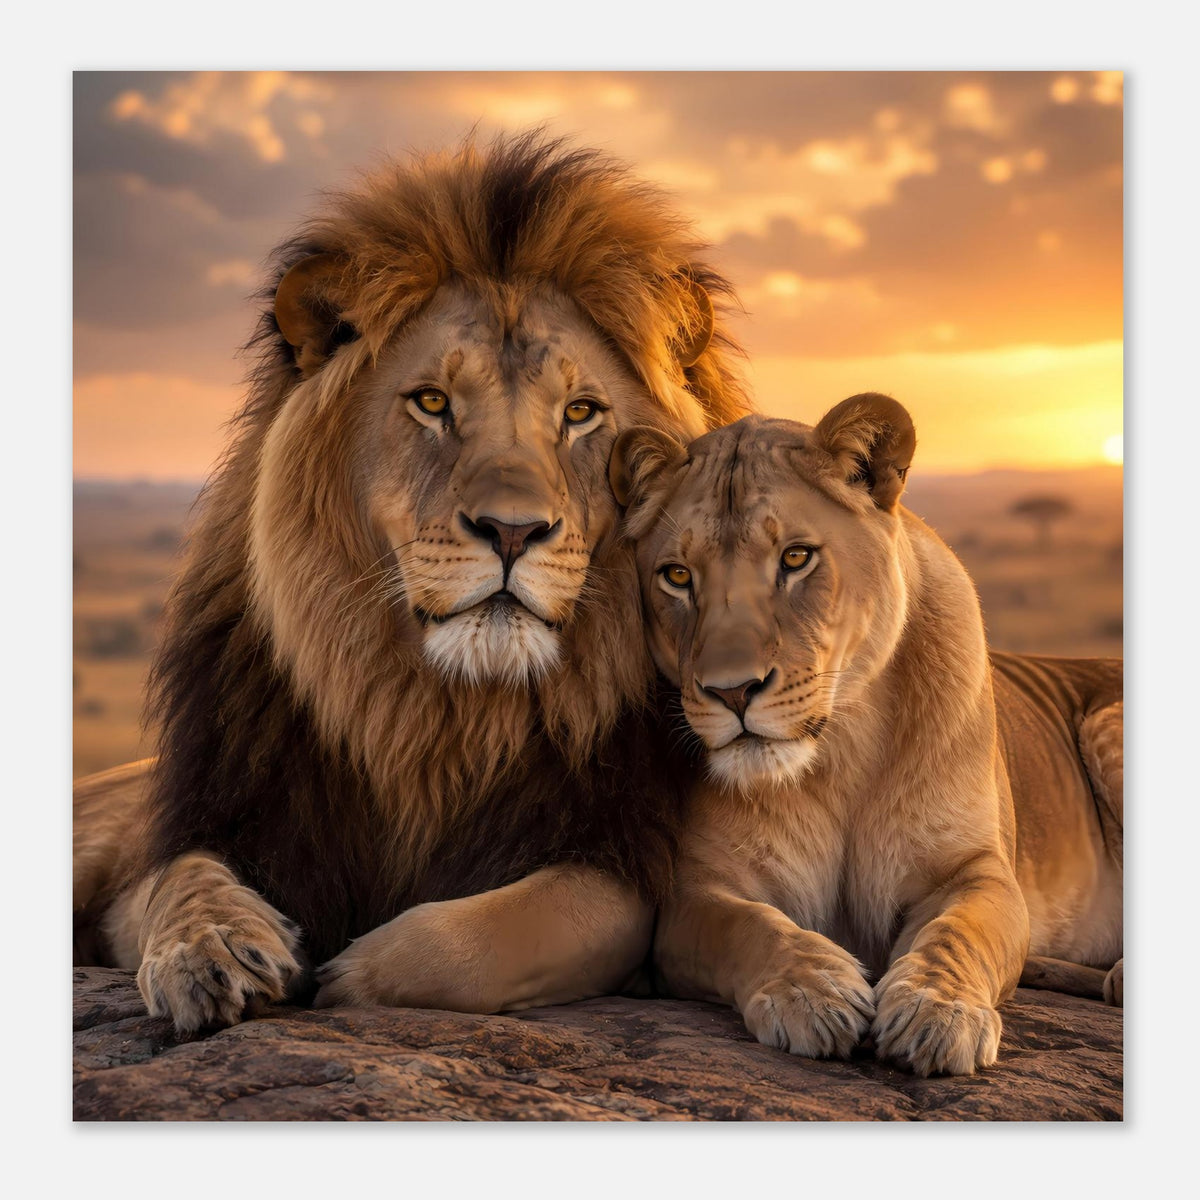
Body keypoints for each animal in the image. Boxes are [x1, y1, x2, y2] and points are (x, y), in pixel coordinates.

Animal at [71, 131, 751, 1034]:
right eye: (432, 403)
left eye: (580, 413)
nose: (512, 531)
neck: (435, 719)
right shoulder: (209, 822)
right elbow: (176, 881)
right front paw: (211, 952)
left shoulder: (620, 862)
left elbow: (492, 934)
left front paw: (347, 975)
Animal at [609, 396, 1122, 1075]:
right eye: (676, 576)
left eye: (796, 558)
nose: (732, 691)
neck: (840, 751)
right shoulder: (694, 894)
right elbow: (751, 927)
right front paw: (813, 991)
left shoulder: (977, 871)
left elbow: (957, 932)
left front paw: (937, 1011)